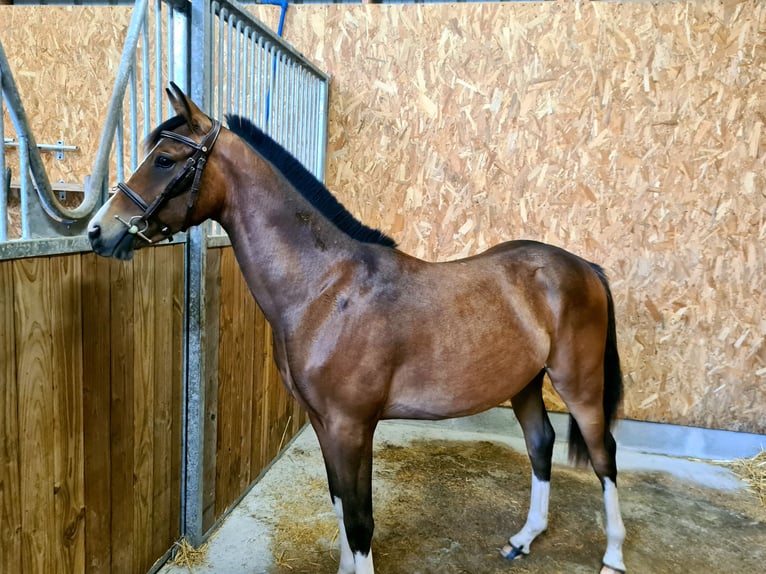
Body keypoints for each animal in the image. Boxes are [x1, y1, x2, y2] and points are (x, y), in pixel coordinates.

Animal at [88, 84, 632, 574]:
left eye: (164, 160)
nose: (98, 230)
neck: (325, 289)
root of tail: (584, 267)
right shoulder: (325, 424)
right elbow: (339, 507)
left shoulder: (353, 427)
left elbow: (359, 522)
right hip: (525, 383)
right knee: (541, 443)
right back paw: (523, 539)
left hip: (579, 384)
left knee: (604, 456)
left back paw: (613, 557)